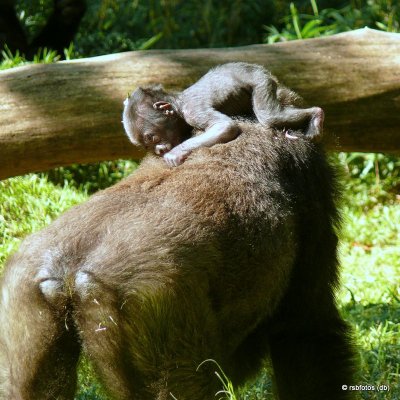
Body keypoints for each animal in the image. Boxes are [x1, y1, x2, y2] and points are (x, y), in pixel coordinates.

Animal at [122, 62, 324, 166]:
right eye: (147, 146)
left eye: (153, 139)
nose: (158, 150)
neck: (178, 103)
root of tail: (257, 68)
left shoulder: (193, 111)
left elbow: (225, 127)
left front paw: (174, 153)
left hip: (261, 81)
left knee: (270, 115)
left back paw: (316, 115)